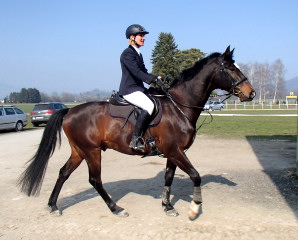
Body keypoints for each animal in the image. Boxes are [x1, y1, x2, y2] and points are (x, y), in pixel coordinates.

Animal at [18, 46, 256, 220]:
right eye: (230, 68)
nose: (251, 93)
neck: (179, 106)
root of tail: (69, 110)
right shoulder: (175, 151)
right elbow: (195, 175)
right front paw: (195, 208)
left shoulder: (173, 152)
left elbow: (169, 178)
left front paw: (167, 206)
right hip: (92, 151)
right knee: (95, 180)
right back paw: (116, 208)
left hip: (79, 151)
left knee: (63, 173)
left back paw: (53, 206)